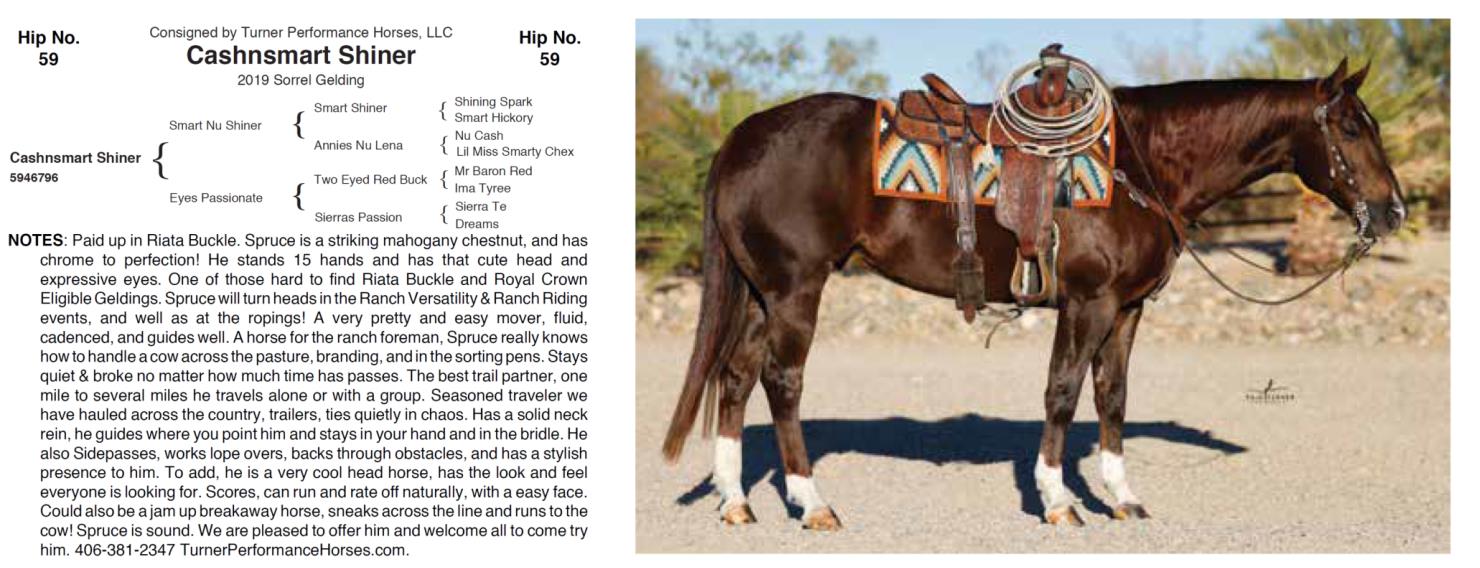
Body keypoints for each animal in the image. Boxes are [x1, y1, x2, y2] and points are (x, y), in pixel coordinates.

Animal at [660, 58, 1406, 529]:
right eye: (1349, 128)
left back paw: (735, 501)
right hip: (795, 288)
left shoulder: (1127, 310)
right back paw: (813, 504)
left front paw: (1122, 498)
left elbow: (1112, 397)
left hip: (762, 292)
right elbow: (1063, 394)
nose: (1394, 210)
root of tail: (743, 136)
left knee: (735, 378)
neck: (1139, 165)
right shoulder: (1088, 303)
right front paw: (1058, 502)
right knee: (782, 382)